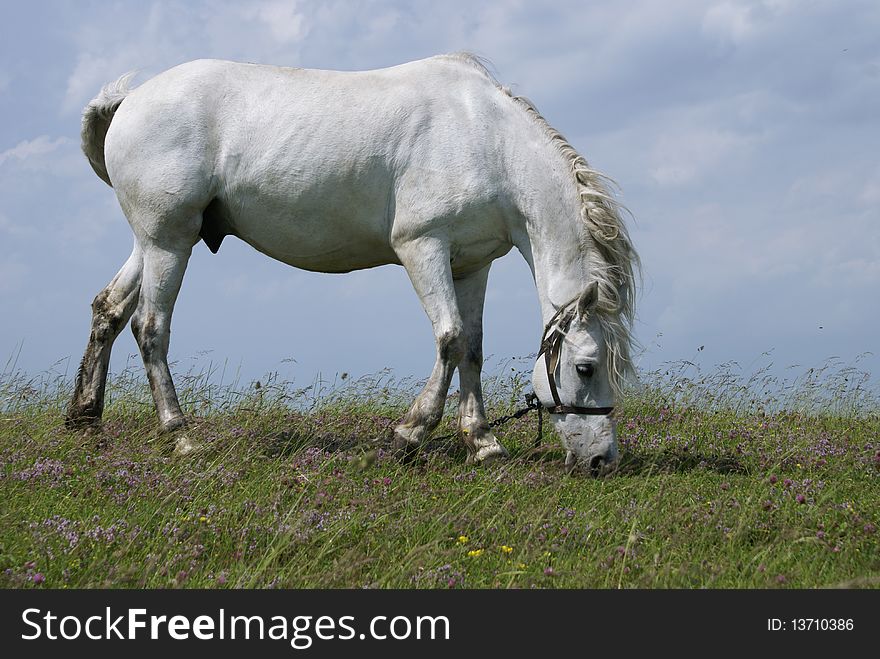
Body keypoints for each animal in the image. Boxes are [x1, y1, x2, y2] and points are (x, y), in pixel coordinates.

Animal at [65, 54, 636, 472]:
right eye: (585, 368)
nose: (602, 461)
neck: (486, 139)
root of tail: (130, 98)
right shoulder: (423, 247)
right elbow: (450, 339)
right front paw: (409, 434)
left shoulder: (471, 265)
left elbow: (472, 348)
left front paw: (482, 442)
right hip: (167, 243)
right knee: (150, 327)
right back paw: (179, 435)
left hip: (155, 242)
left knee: (109, 309)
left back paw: (86, 419)